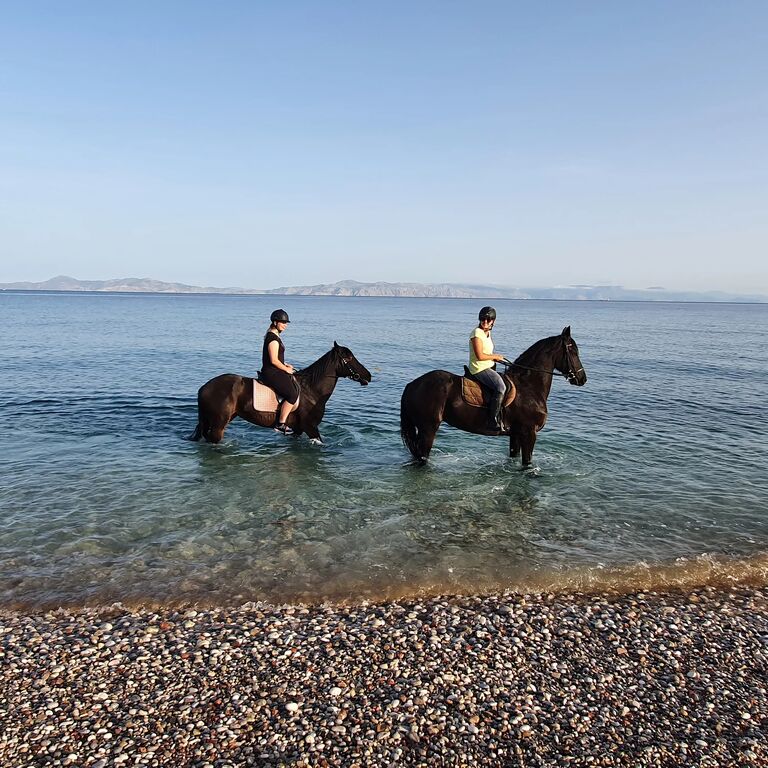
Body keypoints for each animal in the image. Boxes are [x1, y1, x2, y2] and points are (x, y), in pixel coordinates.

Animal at [187, 342, 371, 444]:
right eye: (348, 359)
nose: (368, 376)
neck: (312, 390)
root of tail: (204, 387)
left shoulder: (298, 429)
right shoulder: (310, 427)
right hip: (219, 423)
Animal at [400, 326, 587, 466]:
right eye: (573, 351)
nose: (582, 378)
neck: (528, 386)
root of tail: (412, 384)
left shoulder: (516, 434)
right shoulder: (529, 433)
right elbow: (527, 464)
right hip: (428, 429)